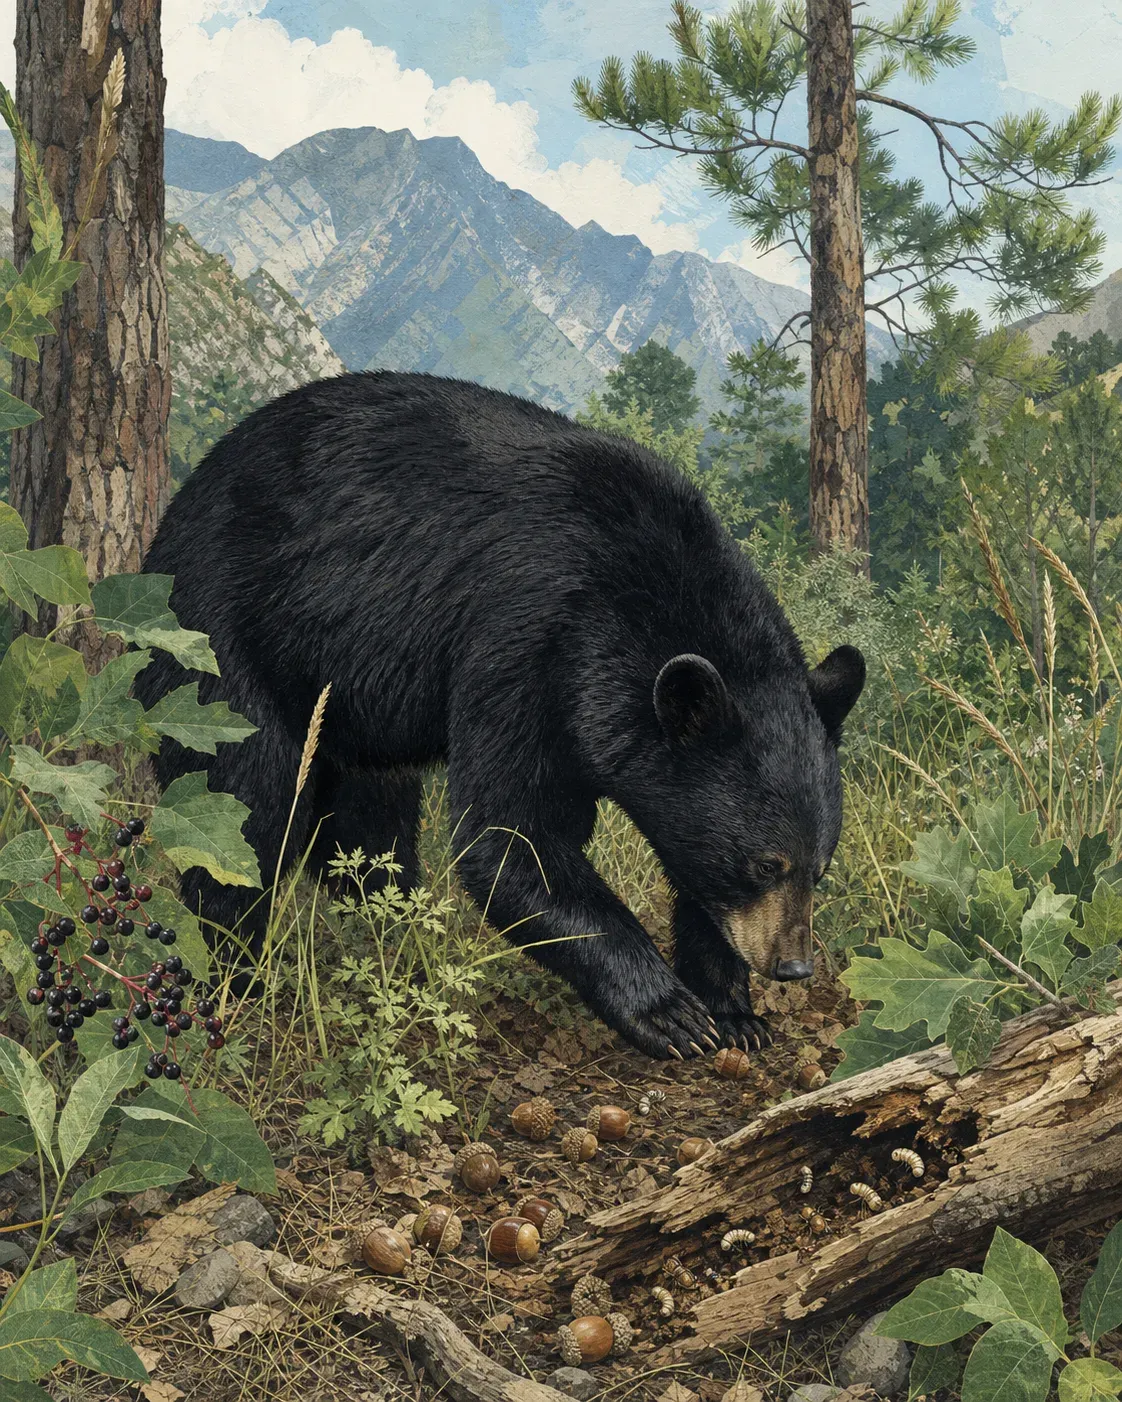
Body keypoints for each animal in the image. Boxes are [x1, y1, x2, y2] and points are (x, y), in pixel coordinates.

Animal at [134, 370, 865, 1059]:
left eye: (820, 866)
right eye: (765, 864)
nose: (793, 965)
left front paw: (733, 1010)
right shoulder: (525, 641)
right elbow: (510, 837)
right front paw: (668, 1011)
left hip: (349, 711)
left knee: (369, 827)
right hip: (219, 641)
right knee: (246, 810)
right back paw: (234, 973)